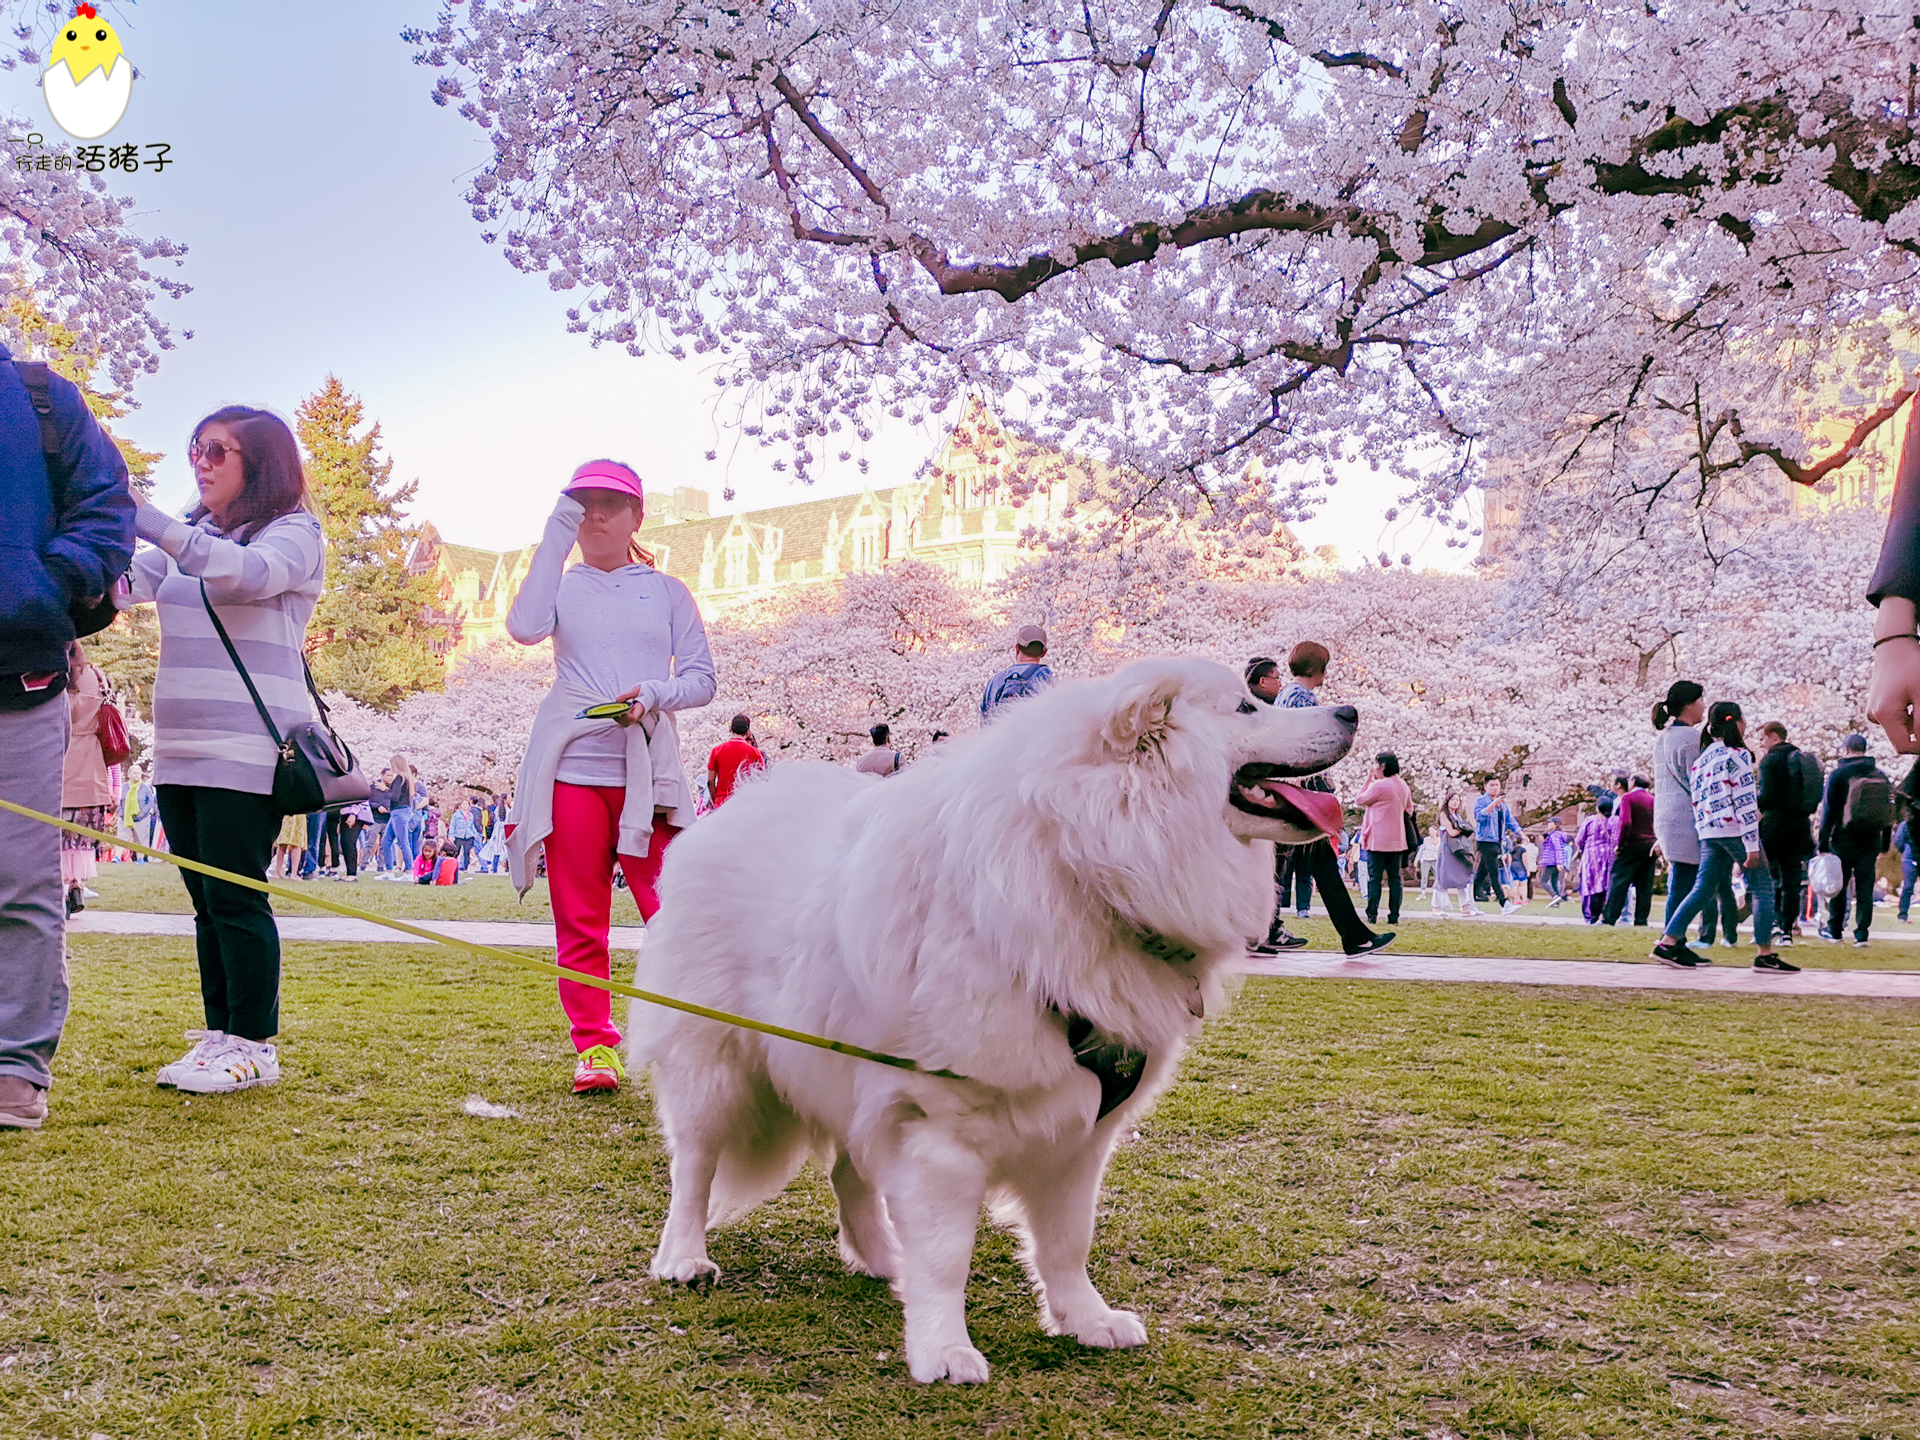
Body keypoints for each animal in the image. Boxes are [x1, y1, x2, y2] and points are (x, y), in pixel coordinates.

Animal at [629, 664, 1351, 1390]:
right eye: (1248, 707)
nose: (1348, 712)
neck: (1081, 869)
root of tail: (733, 813)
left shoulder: (1079, 1134)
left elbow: (1066, 1243)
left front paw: (1084, 1319)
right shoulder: (941, 1128)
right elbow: (948, 1254)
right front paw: (943, 1349)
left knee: (848, 1175)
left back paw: (882, 1259)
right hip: (715, 1072)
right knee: (694, 1168)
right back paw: (683, 1258)